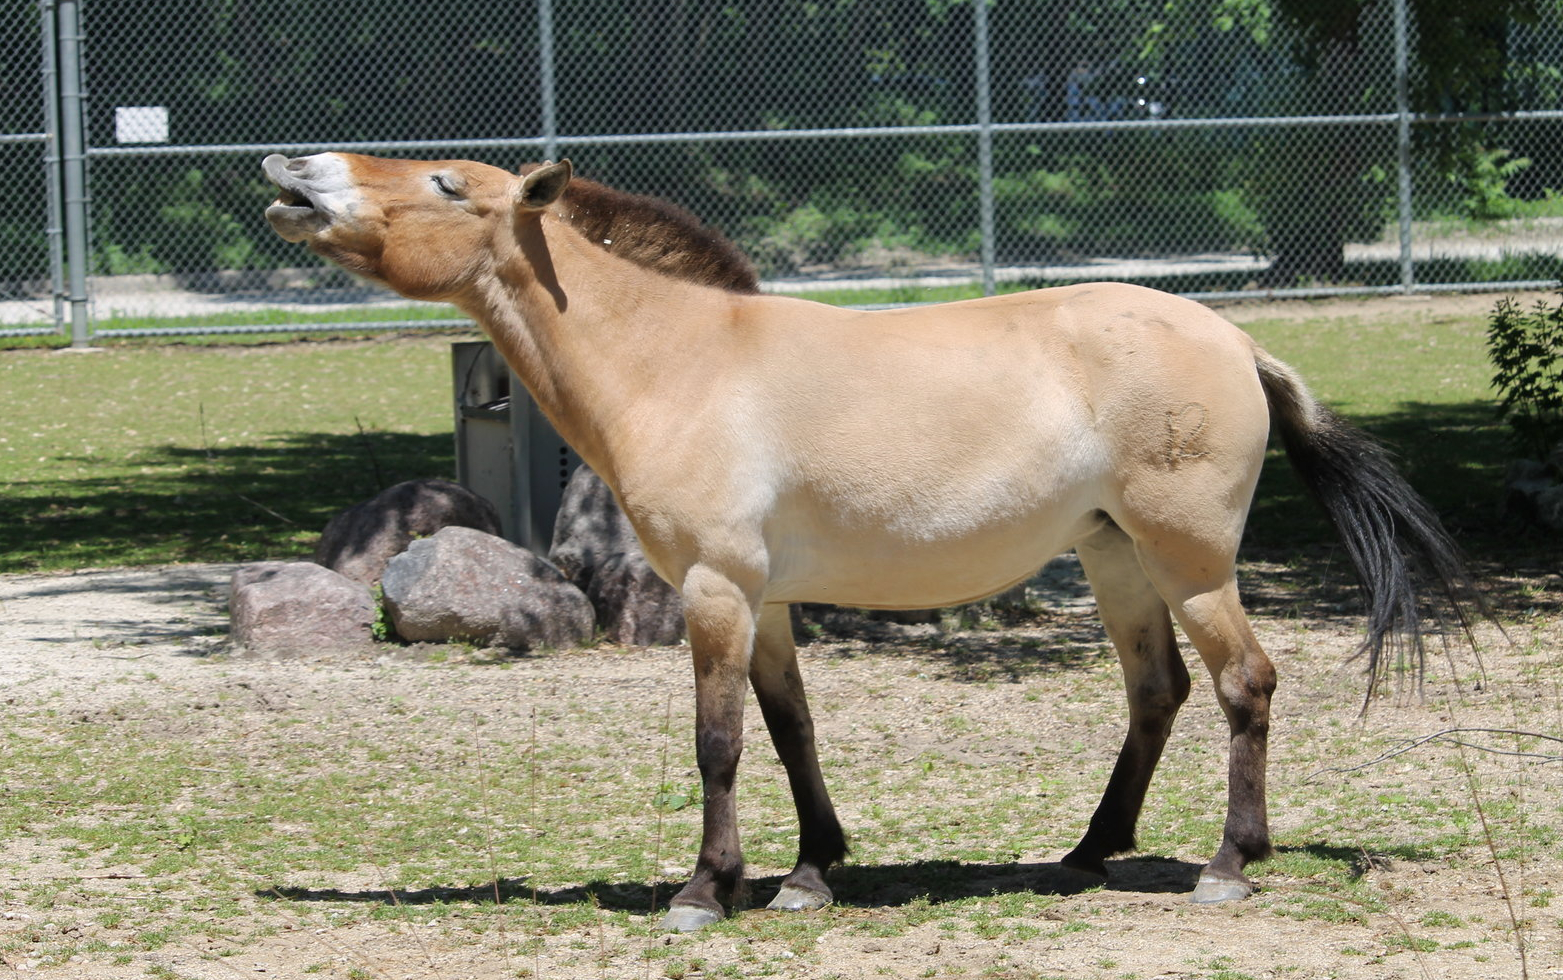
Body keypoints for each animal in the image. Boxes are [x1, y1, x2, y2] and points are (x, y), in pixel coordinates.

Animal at [262, 152, 1480, 932]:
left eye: (444, 184)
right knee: (1158, 693)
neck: (679, 358)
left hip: (1188, 564)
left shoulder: (715, 588)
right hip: (1115, 559)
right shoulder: (765, 599)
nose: (293, 171)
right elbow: (791, 728)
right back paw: (1086, 851)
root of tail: (1233, 340)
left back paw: (1228, 864)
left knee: (1244, 683)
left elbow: (718, 741)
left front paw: (705, 893)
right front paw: (810, 872)